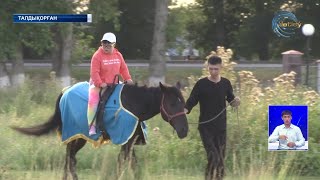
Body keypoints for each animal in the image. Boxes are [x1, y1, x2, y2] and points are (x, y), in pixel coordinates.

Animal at [11, 82, 188, 180]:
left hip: (78, 137)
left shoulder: (129, 141)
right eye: (172, 104)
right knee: (70, 158)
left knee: (70, 158)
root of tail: (65, 91)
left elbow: (132, 165)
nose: (184, 130)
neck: (134, 104)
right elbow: (122, 164)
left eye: (183, 103)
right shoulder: (124, 141)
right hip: (75, 135)